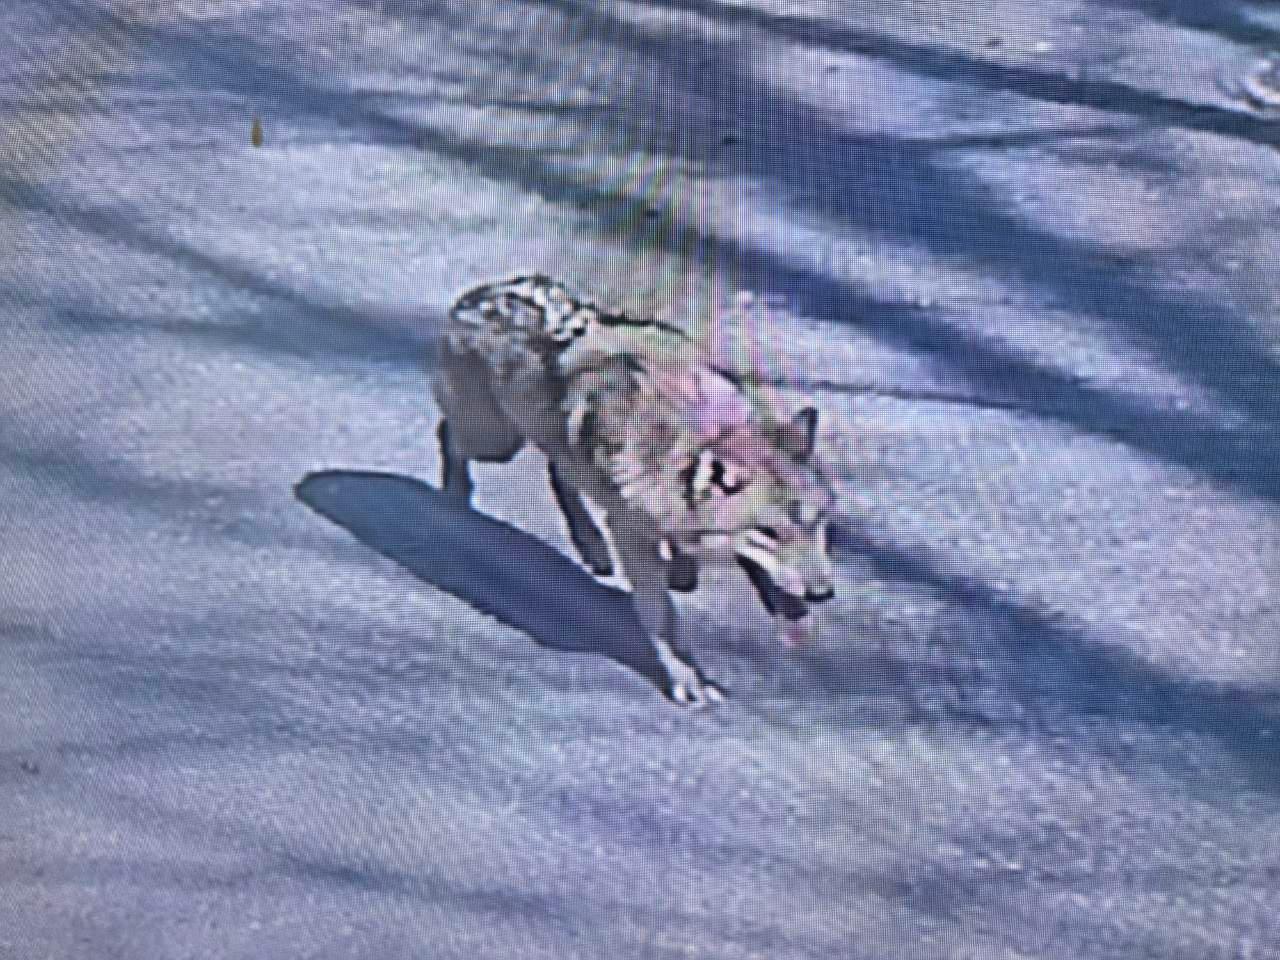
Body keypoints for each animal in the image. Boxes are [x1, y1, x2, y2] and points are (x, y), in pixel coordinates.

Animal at [431, 275, 836, 705]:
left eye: (818, 524)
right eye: (769, 533)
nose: (822, 594)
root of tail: (482, 292)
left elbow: (692, 563)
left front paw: (688, 571)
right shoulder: (632, 534)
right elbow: (663, 618)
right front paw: (689, 681)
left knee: (559, 472)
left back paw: (592, 546)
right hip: (495, 442)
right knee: (449, 435)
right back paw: (454, 499)